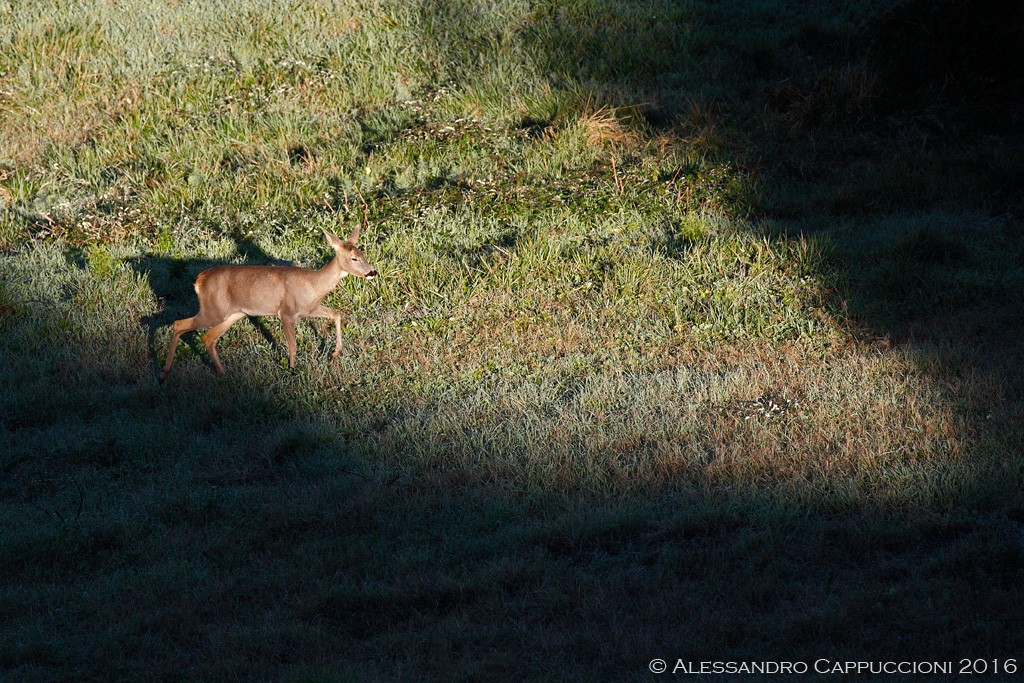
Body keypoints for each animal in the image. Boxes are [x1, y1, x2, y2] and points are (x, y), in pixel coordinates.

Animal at [161, 225, 378, 382]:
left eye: (364, 254)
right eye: (354, 258)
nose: (372, 272)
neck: (313, 284)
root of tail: (199, 281)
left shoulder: (309, 308)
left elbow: (336, 313)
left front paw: (334, 353)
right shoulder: (287, 312)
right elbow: (293, 345)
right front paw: (292, 370)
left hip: (232, 314)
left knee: (207, 337)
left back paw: (223, 374)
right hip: (213, 310)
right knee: (179, 324)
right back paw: (164, 373)